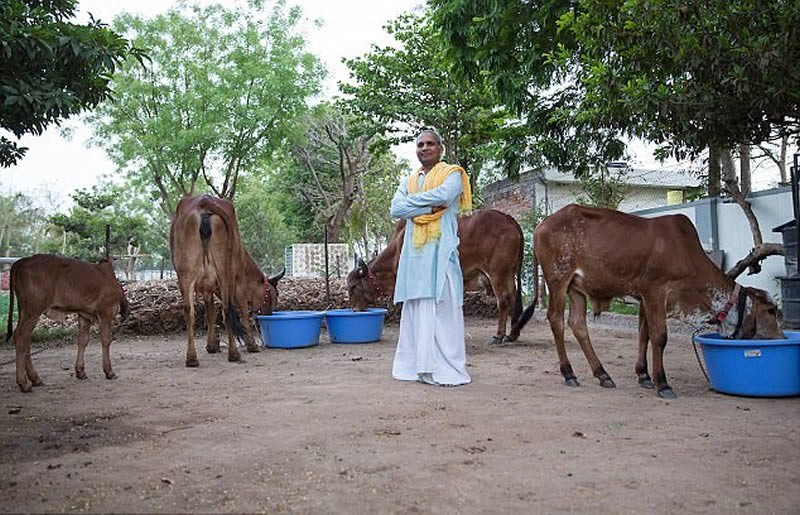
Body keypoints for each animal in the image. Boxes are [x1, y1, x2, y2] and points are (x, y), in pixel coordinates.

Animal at [5, 255, 130, 396]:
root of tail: (23, 260)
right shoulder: (106, 312)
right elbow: (106, 340)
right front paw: (109, 371)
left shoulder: (84, 316)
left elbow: (83, 340)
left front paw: (80, 371)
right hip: (33, 310)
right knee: (21, 337)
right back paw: (24, 383)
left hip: (24, 310)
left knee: (25, 340)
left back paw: (35, 379)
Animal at [169, 194, 284, 366]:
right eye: (272, 296)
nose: (269, 315)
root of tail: (203, 202)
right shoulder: (239, 281)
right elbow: (242, 311)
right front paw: (251, 344)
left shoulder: (208, 289)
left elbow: (211, 313)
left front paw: (212, 345)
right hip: (226, 272)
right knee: (227, 308)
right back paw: (234, 354)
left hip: (185, 274)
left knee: (189, 310)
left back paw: (192, 358)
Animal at [348, 208, 524, 344]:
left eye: (353, 286)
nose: (355, 310)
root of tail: (508, 219)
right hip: (509, 274)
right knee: (513, 297)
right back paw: (512, 334)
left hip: (497, 274)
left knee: (504, 300)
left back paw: (499, 335)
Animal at [512, 205, 780, 400]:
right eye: (771, 311)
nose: (780, 338)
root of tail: (541, 225)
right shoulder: (656, 292)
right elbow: (659, 336)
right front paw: (663, 383)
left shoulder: (644, 298)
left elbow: (644, 334)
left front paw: (644, 376)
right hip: (558, 279)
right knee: (556, 320)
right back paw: (568, 373)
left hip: (576, 288)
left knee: (578, 324)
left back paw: (602, 374)